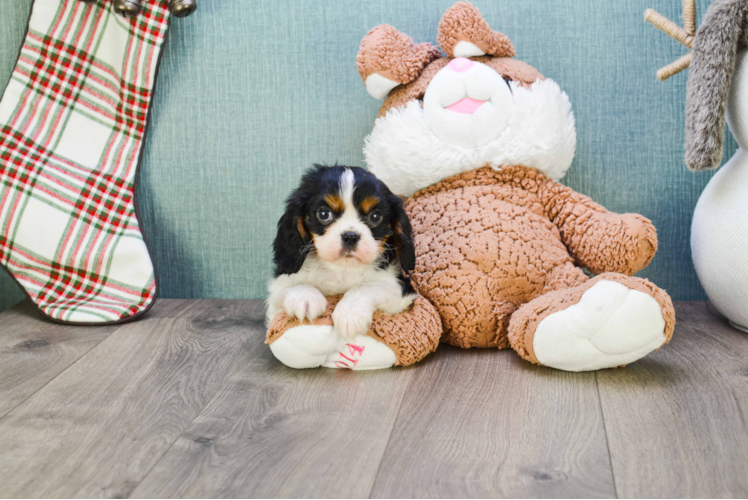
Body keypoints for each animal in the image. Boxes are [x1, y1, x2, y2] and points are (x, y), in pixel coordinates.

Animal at [268, 164, 420, 340]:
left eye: (375, 216)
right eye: (324, 213)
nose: (350, 236)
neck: (342, 268)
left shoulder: (402, 290)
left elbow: (367, 287)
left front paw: (350, 314)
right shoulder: (276, 292)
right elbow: (293, 286)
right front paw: (304, 297)